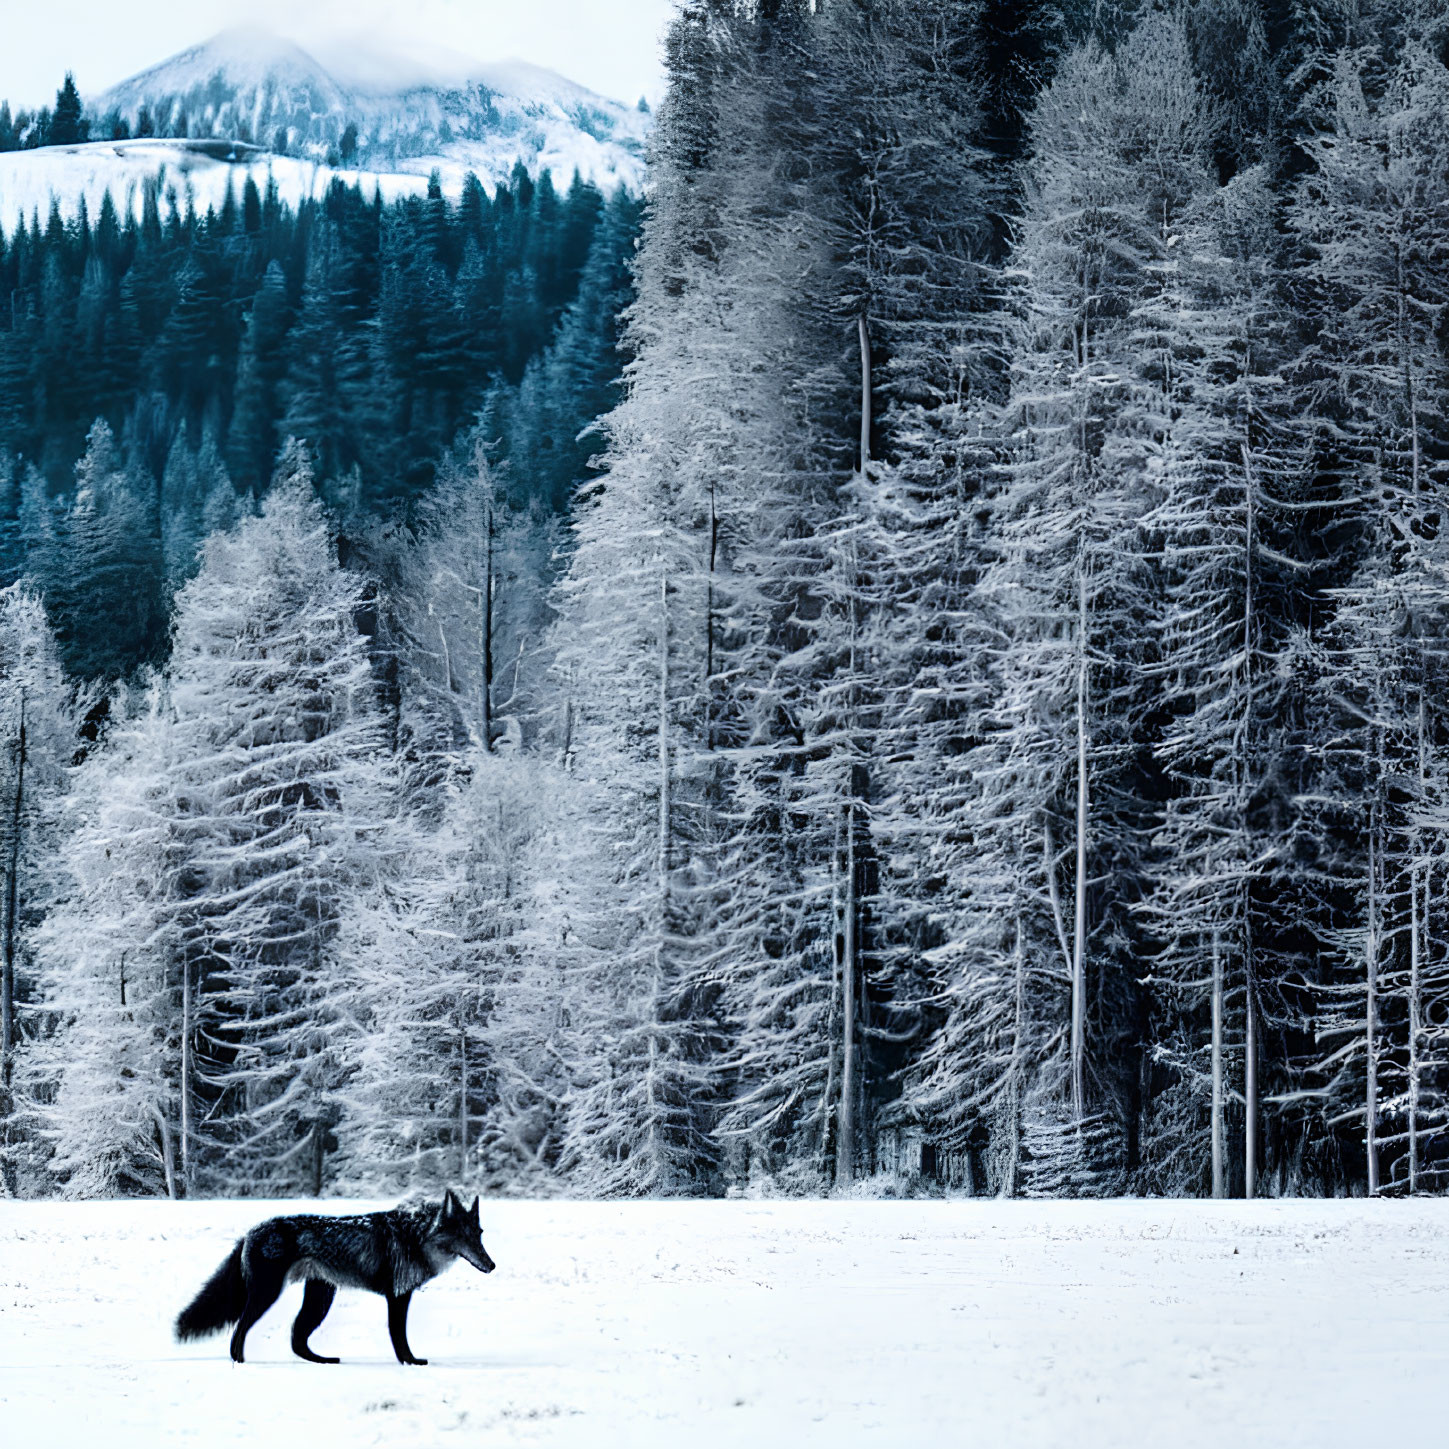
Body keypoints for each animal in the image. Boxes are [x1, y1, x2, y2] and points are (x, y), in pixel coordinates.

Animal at [170, 1182, 492, 1362]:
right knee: (240, 1331)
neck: (415, 1236)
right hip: (269, 1296)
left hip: (320, 1297)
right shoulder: (397, 1297)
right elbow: (399, 1339)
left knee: (296, 1339)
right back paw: (241, 1363)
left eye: (479, 1234)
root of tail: (250, 1232)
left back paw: (322, 1361)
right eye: (464, 1236)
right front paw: (410, 1363)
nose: (492, 1265)